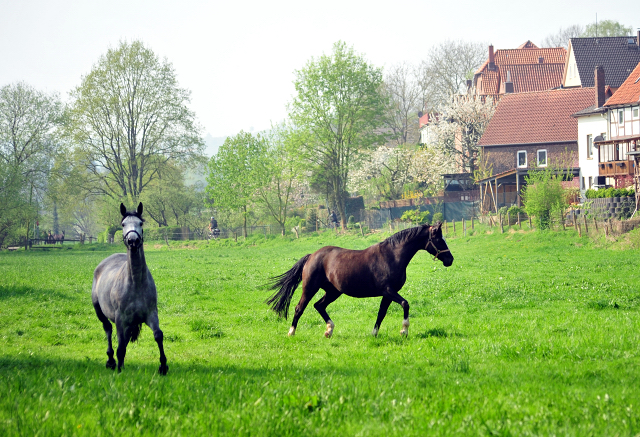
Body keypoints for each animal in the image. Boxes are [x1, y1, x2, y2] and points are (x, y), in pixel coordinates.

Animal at [92, 203, 169, 372]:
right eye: (123, 224)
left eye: (140, 223)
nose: (133, 240)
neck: (136, 284)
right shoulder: (121, 319)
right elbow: (120, 346)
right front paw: (119, 370)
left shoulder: (151, 314)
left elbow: (158, 335)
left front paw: (163, 366)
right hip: (100, 312)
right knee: (108, 329)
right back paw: (111, 361)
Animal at [268, 221, 452, 338]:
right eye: (438, 239)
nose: (450, 260)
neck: (392, 256)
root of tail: (312, 256)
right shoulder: (388, 290)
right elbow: (405, 304)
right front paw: (404, 331)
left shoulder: (387, 294)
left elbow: (381, 313)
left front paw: (374, 334)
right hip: (310, 287)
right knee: (300, 308)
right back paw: (291, 332)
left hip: (333, 292)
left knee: (318, 306)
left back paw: (329, 331)